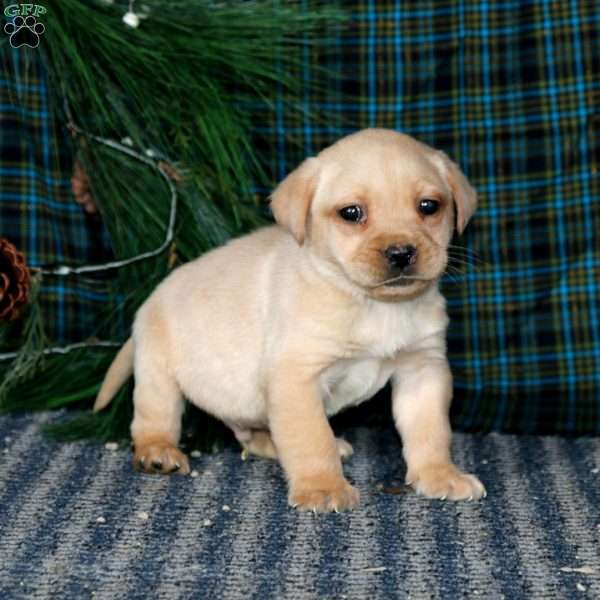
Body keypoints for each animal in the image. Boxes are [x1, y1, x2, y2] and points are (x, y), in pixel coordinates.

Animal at [96, 127, 486, 510]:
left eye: (429, 206)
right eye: (351, 213)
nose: (401, 253)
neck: (374, 304)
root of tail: (152, 298)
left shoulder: (423, 370)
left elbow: (431, 432)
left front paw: (440, 474)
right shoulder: (297, 378)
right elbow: (312, 439)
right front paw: (322, 487)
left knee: (253, 436)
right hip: (158, 377)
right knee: (152, 421)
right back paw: (157, 453)